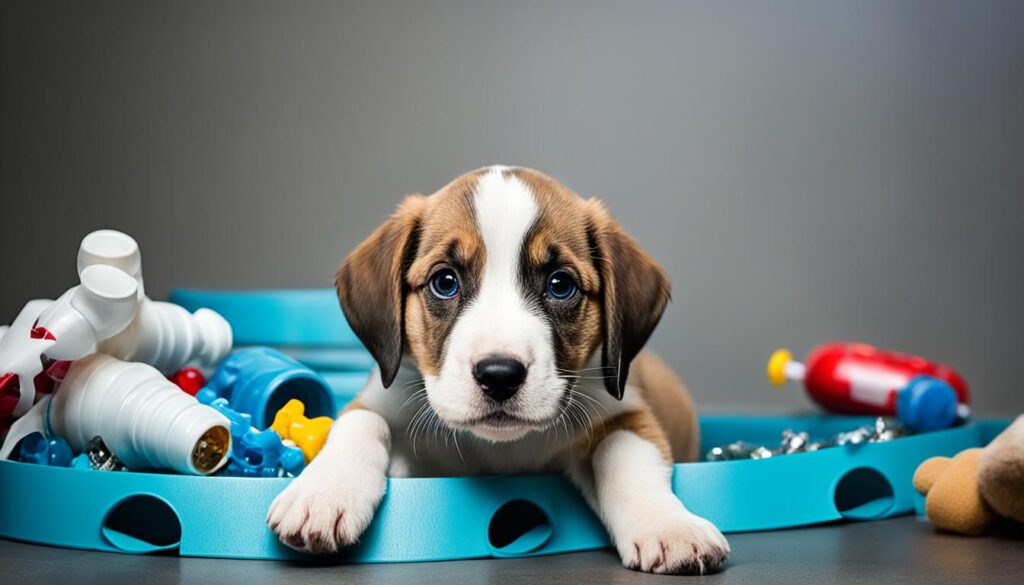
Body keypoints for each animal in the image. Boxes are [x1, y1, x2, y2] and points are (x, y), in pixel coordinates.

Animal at [264, 165, 729, 577]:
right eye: (445, 282)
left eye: (560, 285)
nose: (500, 374)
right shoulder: (381, 398)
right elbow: (360, 424)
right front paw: (323, 492)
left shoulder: (624, 412)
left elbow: (627, 456)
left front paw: (668, 526)